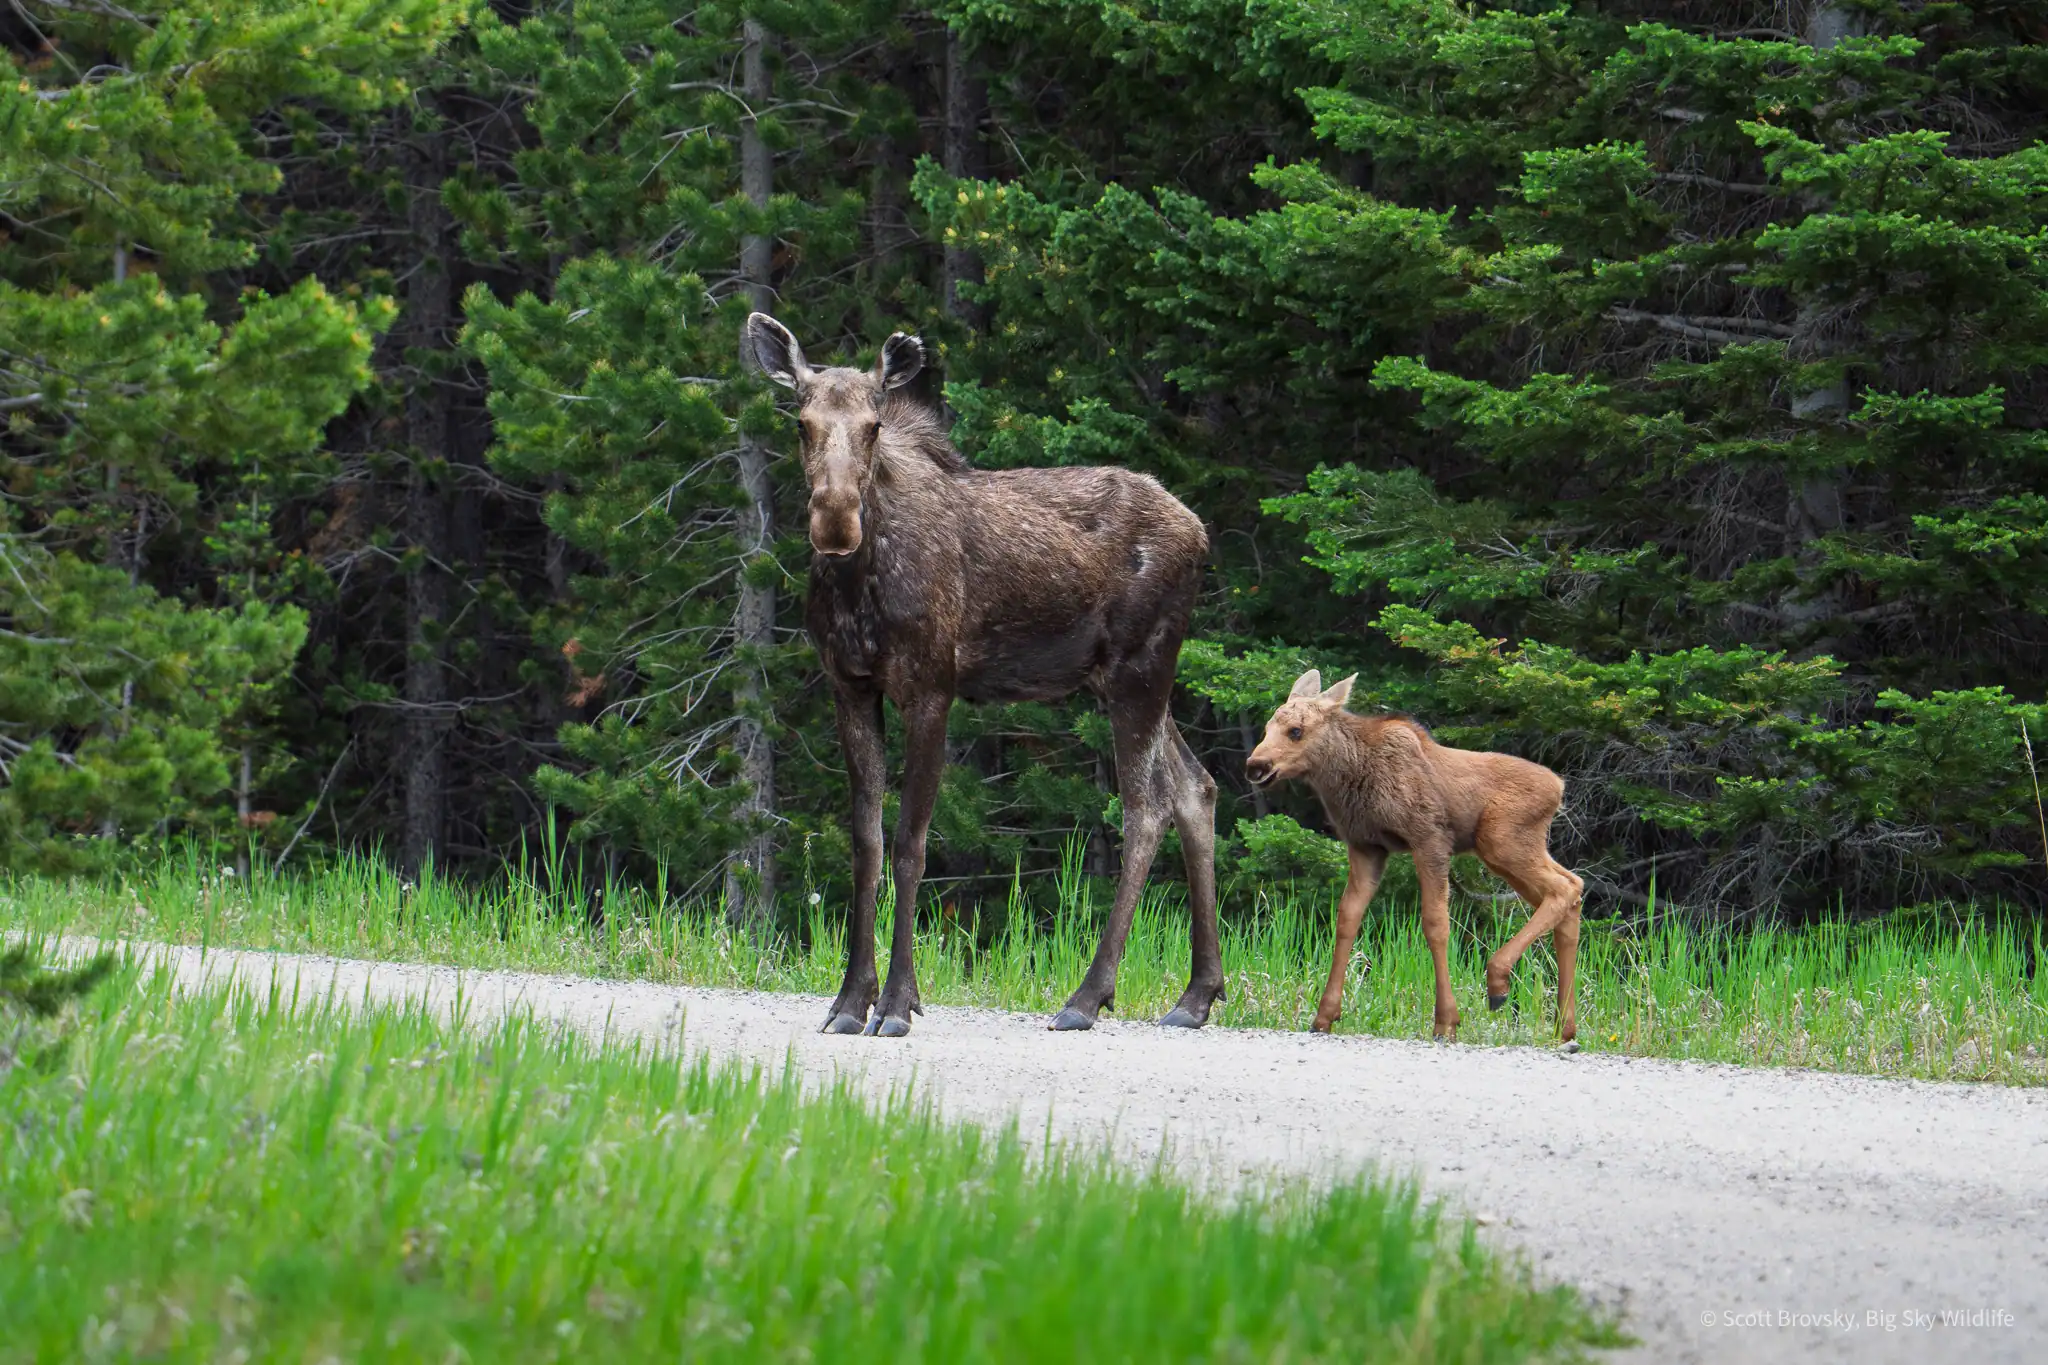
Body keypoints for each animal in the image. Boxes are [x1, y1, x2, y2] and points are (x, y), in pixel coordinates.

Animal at [742, 312, 1223, 1039]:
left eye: (874, 425)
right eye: (800, 422)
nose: (835, 519)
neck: (859, 585)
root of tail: (1200, 532)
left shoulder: (931, 687)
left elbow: (911, 843)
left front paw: (896, 1004)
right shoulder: (850, 684)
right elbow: (866, 842)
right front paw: (849, 1000)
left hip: (1142, 667)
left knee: (1148, 807)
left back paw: (1087, 996)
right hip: (1119, 677)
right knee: (1197, 786)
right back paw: (1196, 995)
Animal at [1244, 669, 1584, 1043]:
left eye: (1296, 731)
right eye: (1267, 727)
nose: (1255, 766)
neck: (1347, 777)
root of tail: (1560, 789)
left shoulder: (1430, 838)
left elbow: (1436, 924)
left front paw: (1446, 1021)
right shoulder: (1366, 847)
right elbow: (1347, 919)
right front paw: (1324, 1015)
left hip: (1502, 842)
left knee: (1566, 888)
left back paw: (1499, 985)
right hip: (1508, 850)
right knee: (1570, 889)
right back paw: (1565, 1027)